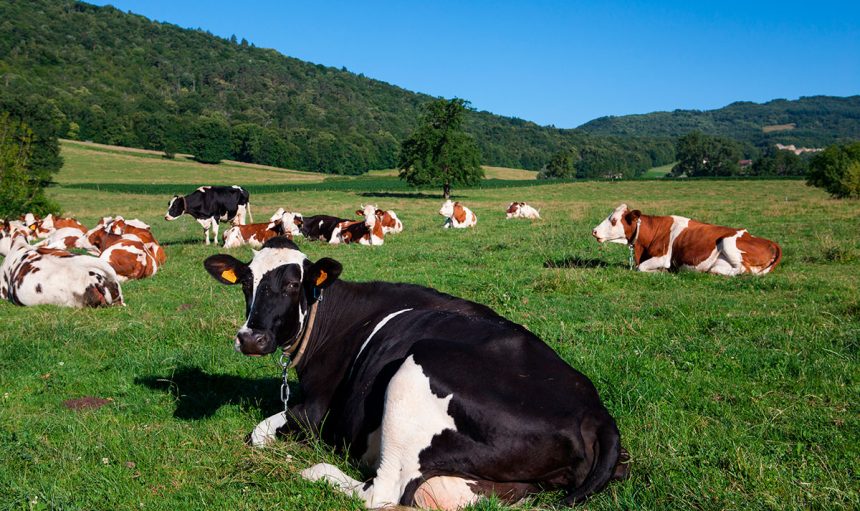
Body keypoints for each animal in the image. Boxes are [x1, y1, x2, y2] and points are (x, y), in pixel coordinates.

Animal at [202, 237, 628, 509]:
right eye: (246, 282)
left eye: (293, 284)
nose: (251, 338)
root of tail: (595, 412)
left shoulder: (315, 412)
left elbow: (259, 434)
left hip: (415, 372)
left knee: (381, 493)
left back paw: (310, 470)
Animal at [592, 203, 782, 275]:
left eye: (613, 220)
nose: (594, 231)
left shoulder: (663, 257)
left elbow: (641, 268)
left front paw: (661, 272)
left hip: (728, 241)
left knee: (743, 270)